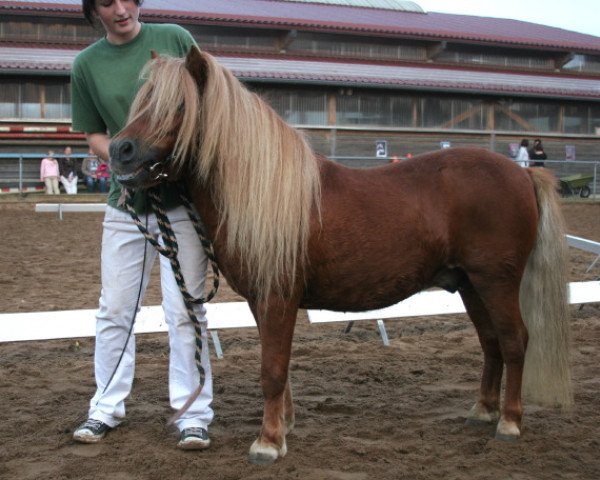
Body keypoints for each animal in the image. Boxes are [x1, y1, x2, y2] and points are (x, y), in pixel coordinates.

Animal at [111, 46, 572, 464]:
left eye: (178, 104)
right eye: (142, 100)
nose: (120, 150)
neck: (265, 190)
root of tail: (523, 173)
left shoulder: (278, 298)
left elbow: (272, 370)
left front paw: (267, 443)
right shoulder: (263, 302)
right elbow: (279, 367)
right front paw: (283, 427)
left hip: (496, 281)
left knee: (514, 340)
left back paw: (509, 422)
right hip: (470, 285)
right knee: (491, 342)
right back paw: (482, 411)